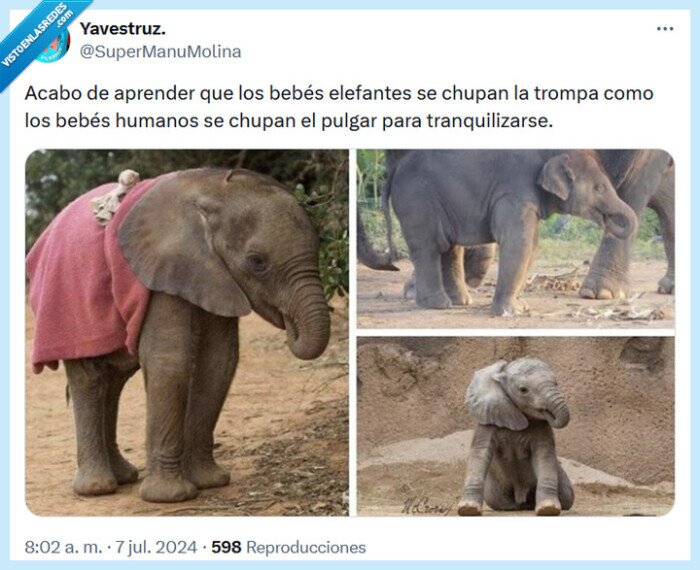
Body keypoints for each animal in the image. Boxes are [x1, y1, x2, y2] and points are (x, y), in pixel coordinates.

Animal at [27, 168, 331, 503]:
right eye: (257, 262)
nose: (289, 323)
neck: (213, 194)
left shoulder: (214, 274)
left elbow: (219, 361)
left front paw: (210, 482)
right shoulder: (163, 270)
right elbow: (171, 361)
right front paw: (170, 496)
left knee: (114, 380)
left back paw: (124, 476)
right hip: (68, 308)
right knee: (90, 378)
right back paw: (98, 489)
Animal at [383, 150, 638, 315]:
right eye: (599, 188)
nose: (610, 221)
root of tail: (394, 170)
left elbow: (532, 244)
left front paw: (521, 308)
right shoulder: (515, 193)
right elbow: (519, 242)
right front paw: (510, 312)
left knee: (448, 247)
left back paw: (459, 302)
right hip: (417, 200)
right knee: (429, 247)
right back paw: (437, 305)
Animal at [457, 358, 574, 516]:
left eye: (556, 383)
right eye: (523, 390)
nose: (548, 412)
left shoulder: (542, 426)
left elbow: (544, 454)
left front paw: (548, 508)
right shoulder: (488, 417)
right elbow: (480, 453)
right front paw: (468, 509)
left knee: (568, 496)